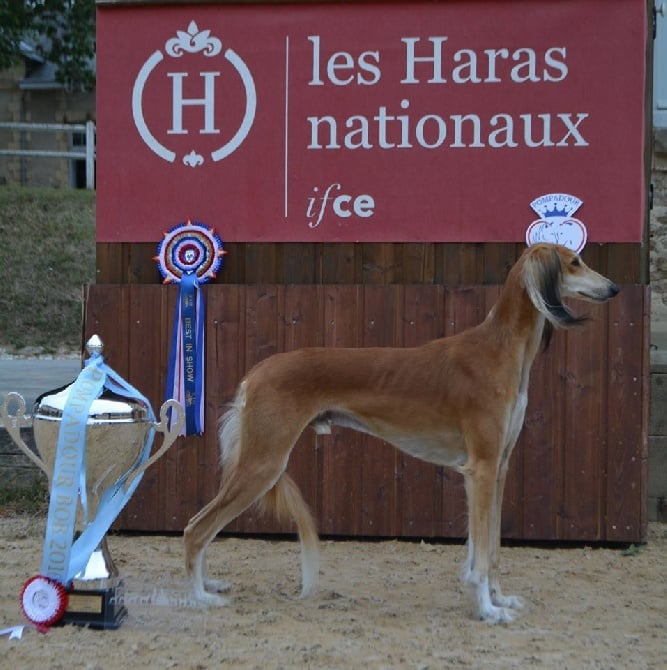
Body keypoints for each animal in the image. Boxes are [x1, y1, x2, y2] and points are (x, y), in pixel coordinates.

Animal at [184, 243, 620, 624]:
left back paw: (206, 585)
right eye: (575, 262)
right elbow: (480, 553)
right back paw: (198, 597)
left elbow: (491, 546)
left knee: (202, 527)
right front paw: (486, 609)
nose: (613, 288)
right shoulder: (480, 468)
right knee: (195, 528)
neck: (499, 348)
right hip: (263, 463)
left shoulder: (499, 468)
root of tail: (257, 371)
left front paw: (498, 598)